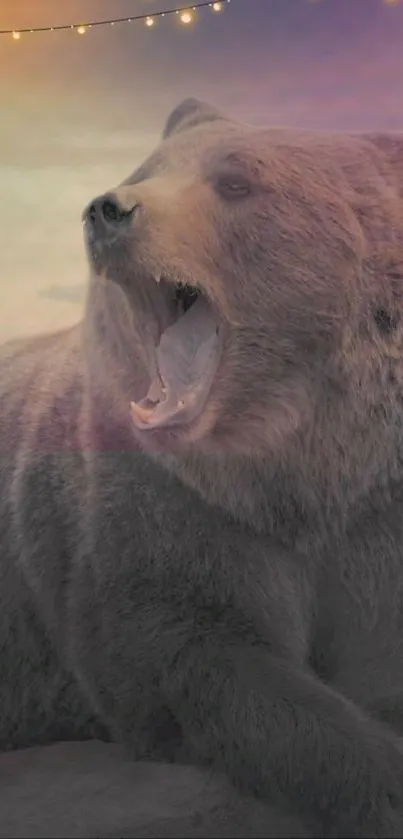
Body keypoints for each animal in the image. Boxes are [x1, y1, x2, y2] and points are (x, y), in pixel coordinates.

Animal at [2, 100, 403, 839]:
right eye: (148, 170)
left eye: (236, 182)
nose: (109, 209)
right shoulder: (171, 508)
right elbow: (196, 653)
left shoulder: (375, 518)